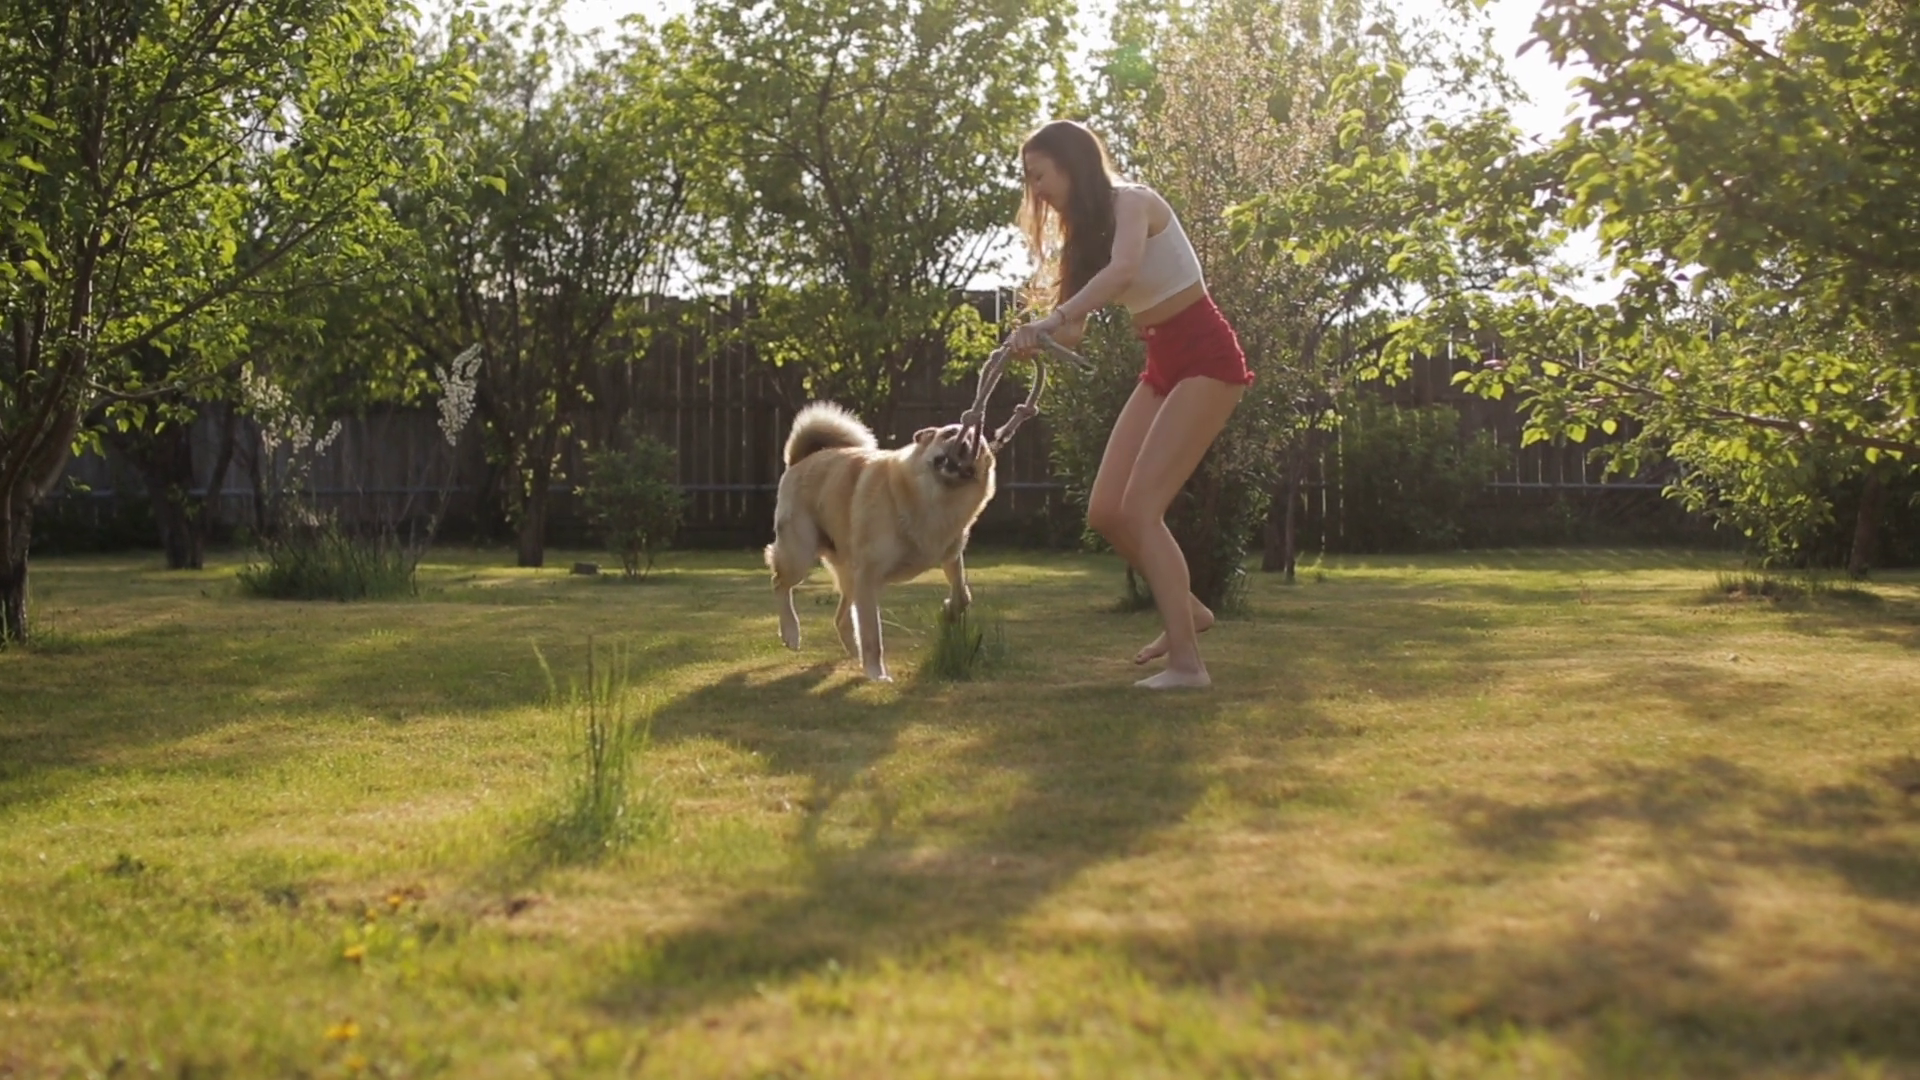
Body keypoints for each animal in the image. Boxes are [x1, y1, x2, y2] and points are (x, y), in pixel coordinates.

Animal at [763, 401, 998, 682]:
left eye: (978, 446)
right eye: (951, 433)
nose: (966, 444)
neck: (935, 500)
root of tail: (801, 459)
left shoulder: (950, 557)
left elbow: (963, 594)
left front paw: (949, 610)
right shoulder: (868, 576)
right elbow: (872, 635)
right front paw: (877, 674)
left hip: (849, 575)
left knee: (840, 618)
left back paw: (854, 654)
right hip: (800, 555)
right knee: (780, 584)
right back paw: (791, 633)